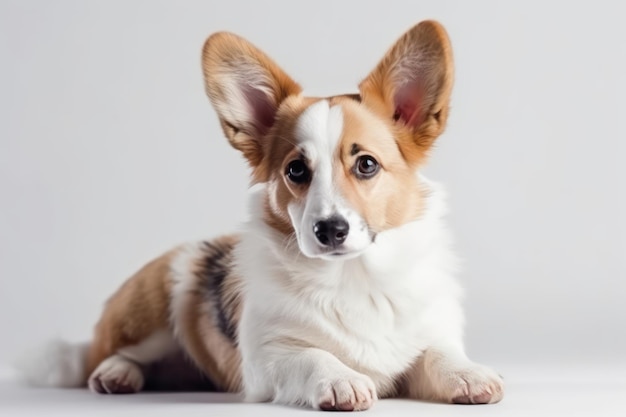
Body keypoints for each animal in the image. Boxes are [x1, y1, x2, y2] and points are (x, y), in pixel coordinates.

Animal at [20, 19, 502, 410]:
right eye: (296, 170)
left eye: (366, 164)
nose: (330, 230)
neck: (353, 276)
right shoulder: (267, 357)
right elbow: (313, 356)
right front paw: (342, 379)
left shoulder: (426, 337)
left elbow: (438, 353)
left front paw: (469, 373)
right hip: (161, 296)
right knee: (102, 356)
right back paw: (116, 373)